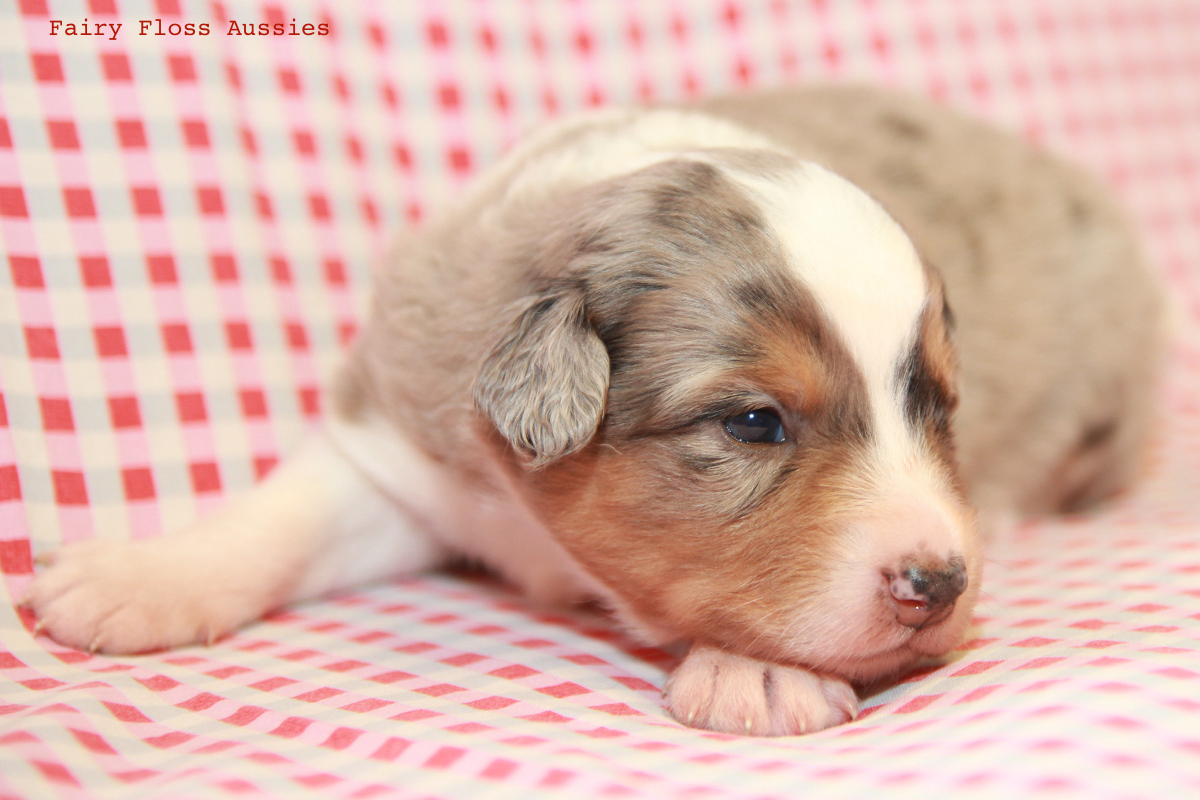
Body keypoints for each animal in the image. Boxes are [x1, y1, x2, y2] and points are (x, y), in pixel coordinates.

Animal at [25, 87, 1161, 738]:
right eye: (754, 424)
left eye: (935, 404)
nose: (941, 583)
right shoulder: (398, 437)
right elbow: (290, 511)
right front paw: (141, 576)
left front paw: (758, 671)